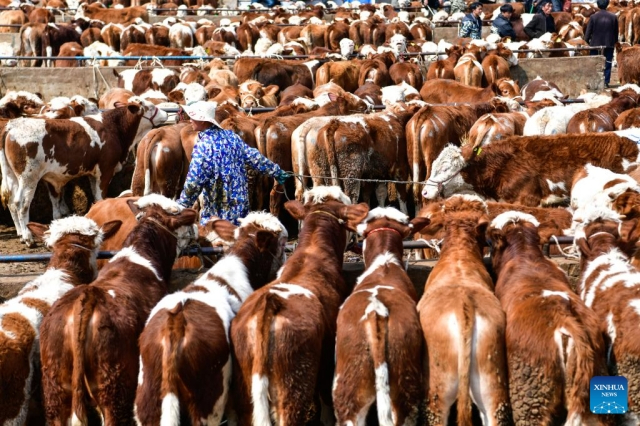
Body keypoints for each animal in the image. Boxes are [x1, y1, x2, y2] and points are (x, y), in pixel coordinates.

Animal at [0, 97, 168, 246]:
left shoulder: (93, 174)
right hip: (28, 177)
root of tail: (11, 126)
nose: (166, 113)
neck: (113, 127)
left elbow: (96, 198)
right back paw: (28, 237)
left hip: (12, 176)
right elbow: (101, 196)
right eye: (150, 107)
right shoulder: (105, 170)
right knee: (21, 203)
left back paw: (21, 234)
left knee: (11, 202)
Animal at [39, 196, 198, 426]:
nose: (196, 226)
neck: (140, 255)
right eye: (179, 214)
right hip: (114, 389)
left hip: (55, 388)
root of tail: (85, 300)